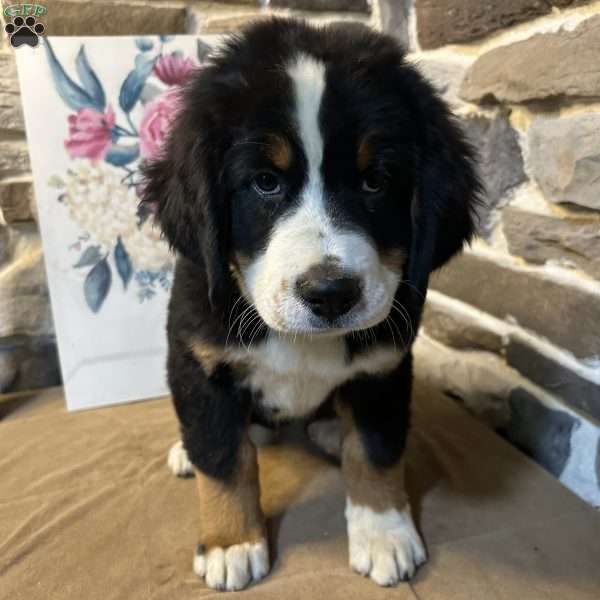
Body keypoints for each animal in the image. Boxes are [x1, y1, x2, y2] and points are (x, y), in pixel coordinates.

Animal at [143, 17, 480, 592]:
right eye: (265, 182)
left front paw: (384, 532)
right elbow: (224, 457)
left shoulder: (384, 368)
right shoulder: (199, 361)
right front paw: (232, 543)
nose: (330, 293)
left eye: (376, 181)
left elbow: (375, 450)